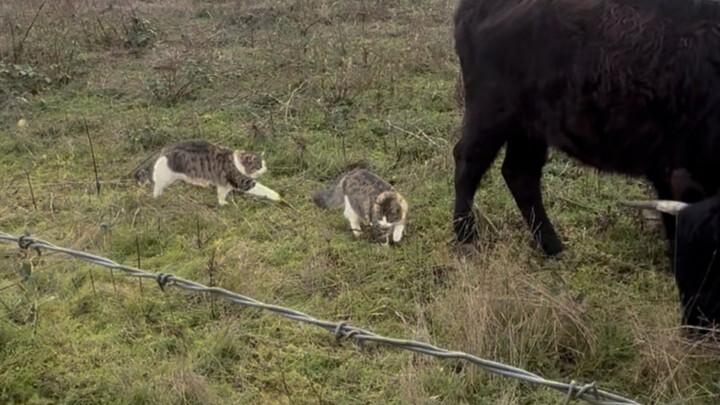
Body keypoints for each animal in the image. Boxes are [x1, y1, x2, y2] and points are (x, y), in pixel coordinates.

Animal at [452, 0, 720, 329]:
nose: (699, 325)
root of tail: (470, 9)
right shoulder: (681, 177)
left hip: (530, 128)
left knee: (519, 174)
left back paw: (554, 249)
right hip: (492, 114)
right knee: (468, 162)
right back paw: (466, 238)